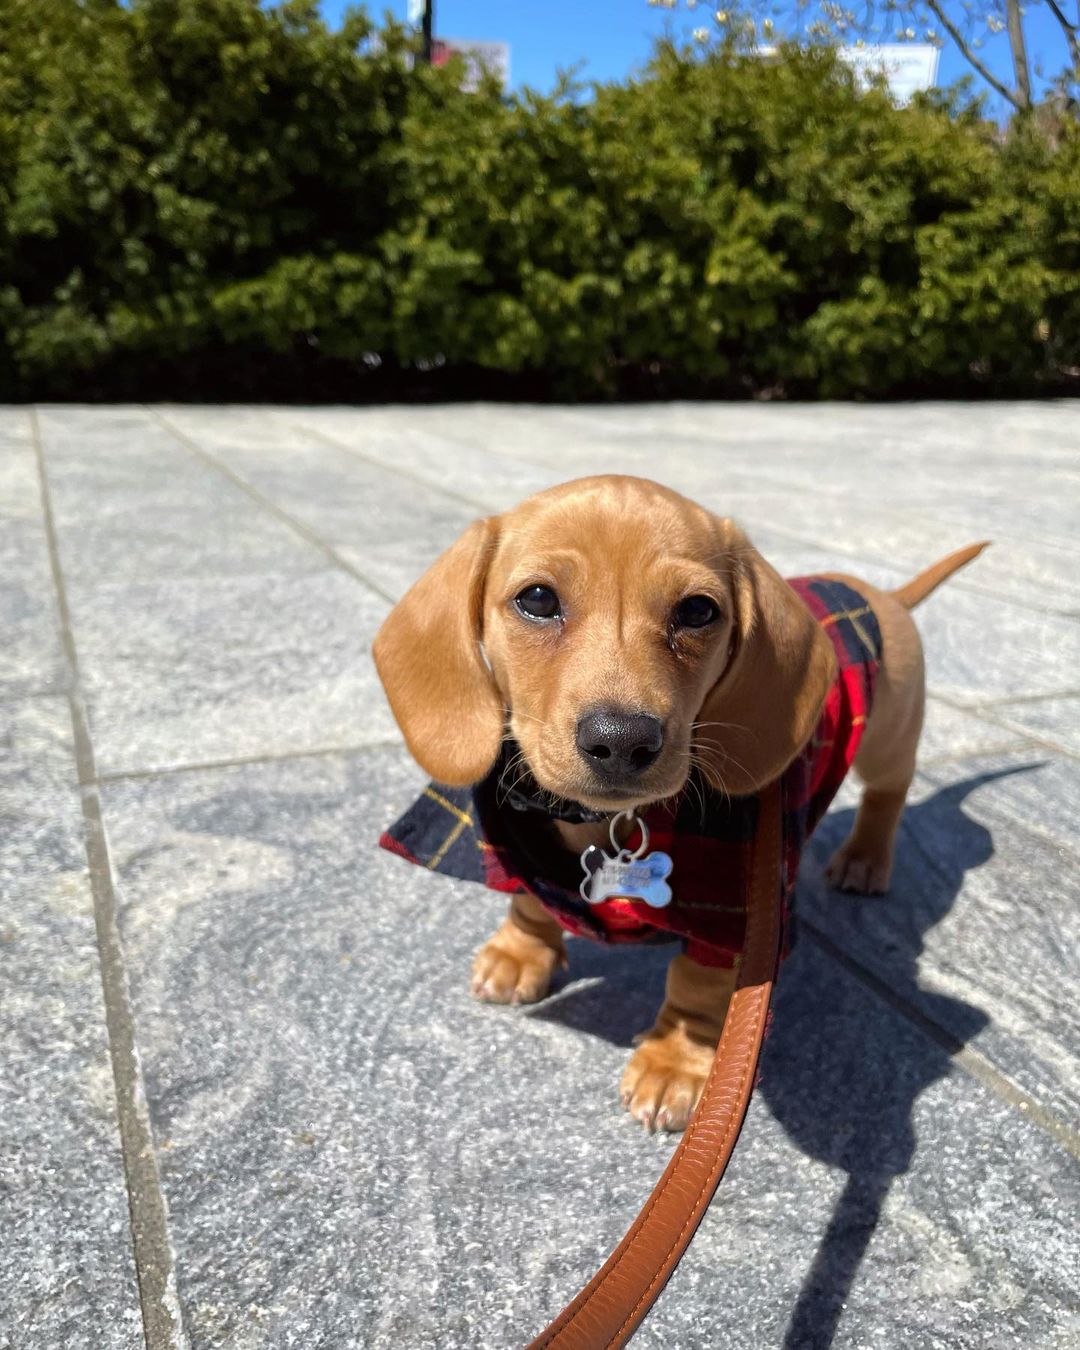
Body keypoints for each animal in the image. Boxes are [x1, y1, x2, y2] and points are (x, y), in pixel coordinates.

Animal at [372, 475, 988, 1128]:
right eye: (536, 599)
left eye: (697, 611)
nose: (621, 741)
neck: (601, 822)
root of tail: (882, 594)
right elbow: (531, 897)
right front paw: (522, 951)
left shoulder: (732, 918)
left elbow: (696, 985)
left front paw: (676, 1062)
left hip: (889, 735)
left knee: (890, 791)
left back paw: (866, 857)